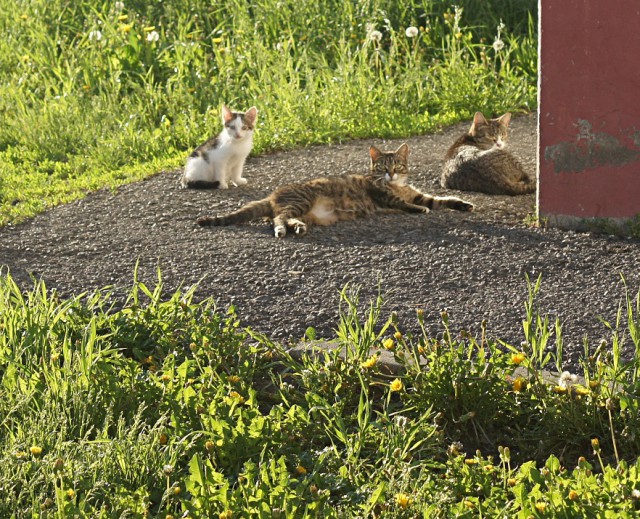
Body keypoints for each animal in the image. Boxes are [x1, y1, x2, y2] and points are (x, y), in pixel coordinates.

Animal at [198, 143, 472, 239]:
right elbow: (407, 204)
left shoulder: (416, 193)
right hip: (301, 200)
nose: (391, 174)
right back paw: (282, 229)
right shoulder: (386, 196)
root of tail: (274, 193)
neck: (396, 185)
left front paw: (461, 203)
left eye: (397, 165)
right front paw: (419, 209)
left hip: (302, 209)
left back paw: (297, 227)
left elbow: (440, 199)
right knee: (278, 218)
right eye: (382, 166)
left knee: (284, 218)